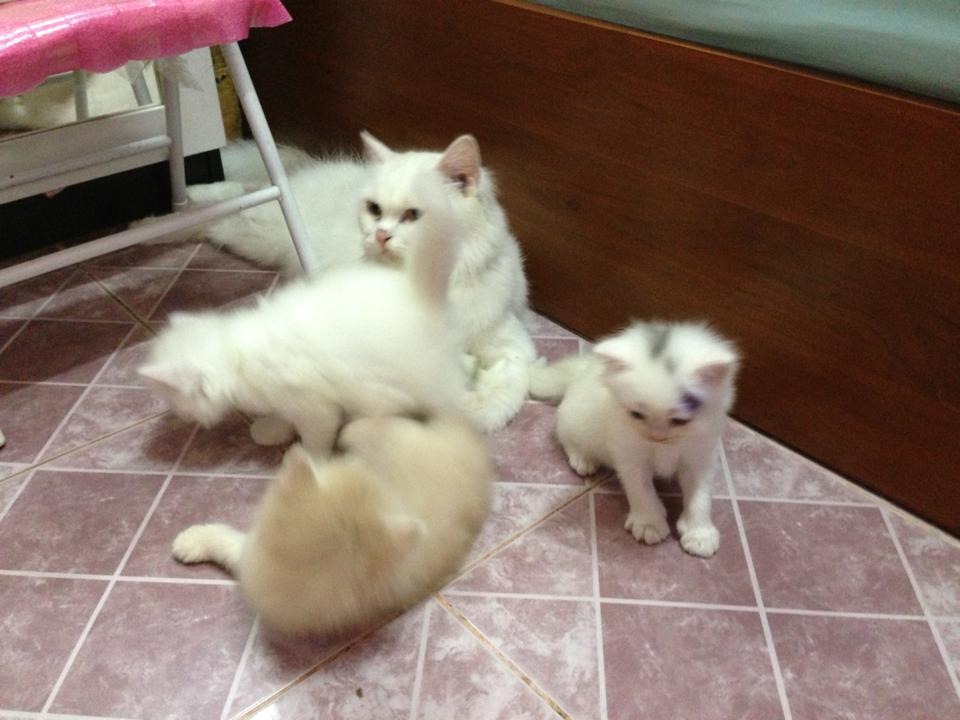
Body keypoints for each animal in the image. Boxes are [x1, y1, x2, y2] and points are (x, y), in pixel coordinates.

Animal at [137, 171, 465, 458]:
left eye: (172, 400)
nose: (183, 418)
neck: (237, 355)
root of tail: (418, 291)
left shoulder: (316, 408)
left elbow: (315, 441)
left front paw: (309, 464)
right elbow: (283, 418)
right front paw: (272, 429)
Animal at [146, 132, 536, 431]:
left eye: (413, 214)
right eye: (375, 210)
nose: (380, 236)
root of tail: (304, 170)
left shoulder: (508, 338)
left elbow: (509, 384)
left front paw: (472, 400)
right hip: (256, 225)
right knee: (219, 204)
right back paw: (155, 221)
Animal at [172, 412, 493, 636]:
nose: (359, 464)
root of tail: (472, 447)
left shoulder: (252, 555)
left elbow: (224, 539)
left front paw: (192, 539)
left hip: (396, 435)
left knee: (374, 424)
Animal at [530, 321, 739, 557]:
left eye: (679, 420)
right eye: (636, 415)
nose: (657, 437)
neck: (665, 447)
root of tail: (583, 371)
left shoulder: (701, 455)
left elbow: (700, 496)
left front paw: (699, 533)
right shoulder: (629, 454)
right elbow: (641, 489)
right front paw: (649, 523)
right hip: (576, 423)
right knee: (565, 436)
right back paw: (583, 460)